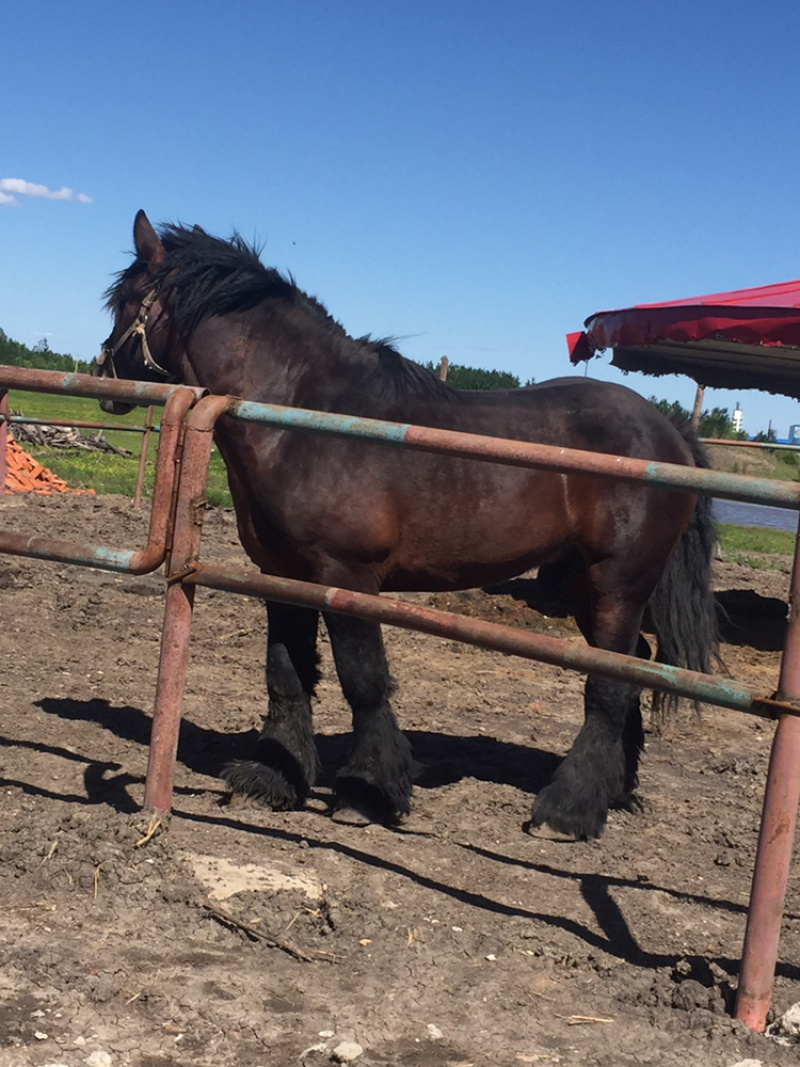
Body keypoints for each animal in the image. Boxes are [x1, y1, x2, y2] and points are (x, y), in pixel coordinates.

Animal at [93, 210, 719, 840]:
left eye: (123, 300)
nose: (102, 373)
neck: (306, 419)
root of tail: (668, 433)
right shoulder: (282, 576)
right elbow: (286, 673)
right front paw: (275, 777)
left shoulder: (346, 577)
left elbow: (363, 680)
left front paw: (368, 791)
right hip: (585, 585)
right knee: (631, 667)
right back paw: (614, 789)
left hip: (617, 583)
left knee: (609, 684)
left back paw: (567, 810)